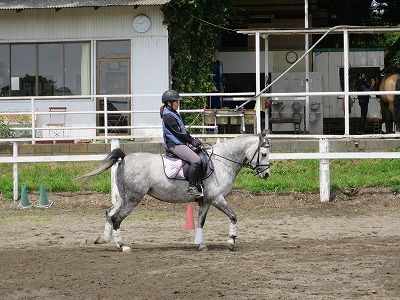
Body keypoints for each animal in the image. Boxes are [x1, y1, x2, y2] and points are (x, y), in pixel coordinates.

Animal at [77, 132, 272, 252]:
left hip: (124, 198)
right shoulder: (217, 199)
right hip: (133, 199)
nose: (267, 174)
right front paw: (231, 242)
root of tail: (124, 158)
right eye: (263, 154)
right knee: (117, 218)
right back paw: (122, 246)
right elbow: (233, 216)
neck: (222, 162)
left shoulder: (206, 201)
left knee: (109, 213)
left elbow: (200, 222)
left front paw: (200, 244)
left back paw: (104, 239)